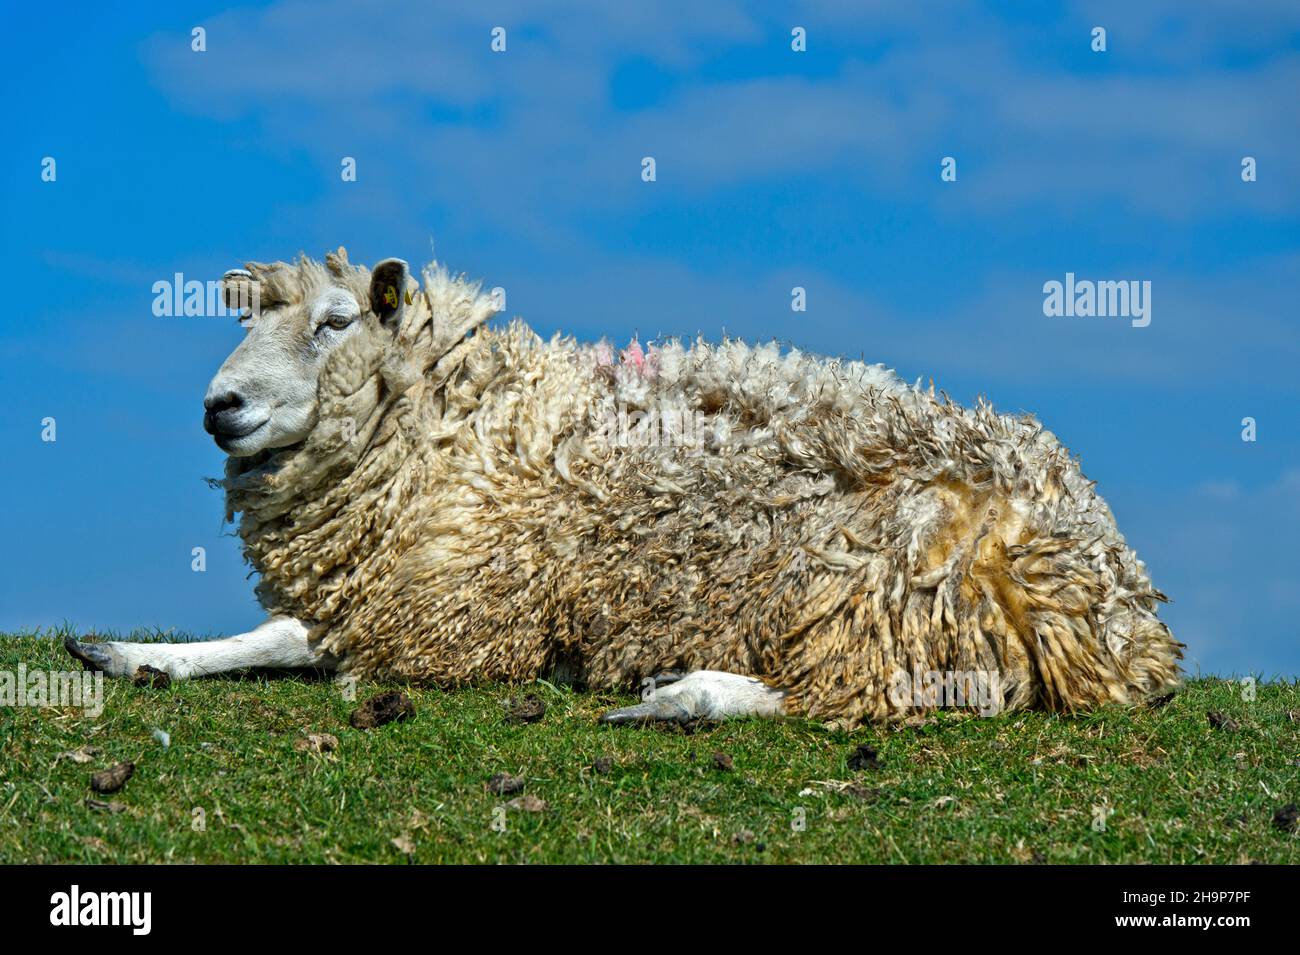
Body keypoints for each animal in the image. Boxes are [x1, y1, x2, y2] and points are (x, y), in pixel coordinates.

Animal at [63, 246, 1190, 722]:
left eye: (335, 322)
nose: (221, 406)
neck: (458, 417)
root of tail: (1119, 597)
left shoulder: (461, 617)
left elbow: (308, 644)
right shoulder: (394, 595)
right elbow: (279, 633)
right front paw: (135, 655)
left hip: (871, 587)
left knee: (898, 691)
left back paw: (687, 694)